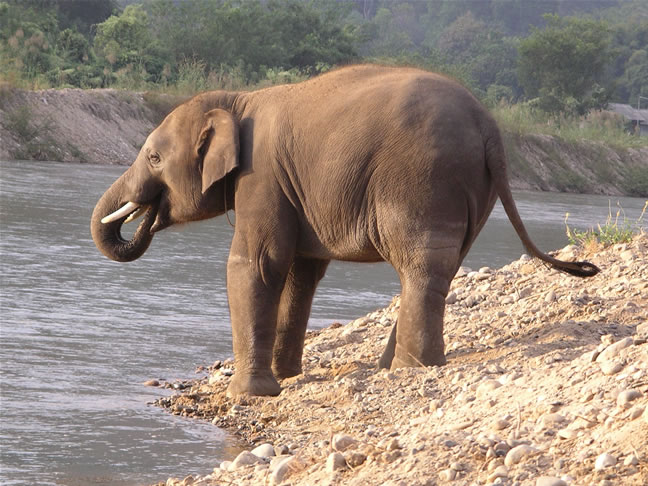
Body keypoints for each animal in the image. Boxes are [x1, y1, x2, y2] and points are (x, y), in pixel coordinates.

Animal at [91, 65, 599, 397]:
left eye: (154, 157)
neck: (239, 99)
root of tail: (490, 129)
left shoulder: (263, 175)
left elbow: (256, 263)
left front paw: (250, 393)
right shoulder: (289, 187)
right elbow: (302, 271)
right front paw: (287, 378)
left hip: (422, 180)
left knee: (421, 266)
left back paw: (408, 369)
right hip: (473, 188)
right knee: (441, 269)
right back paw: (390, 365)